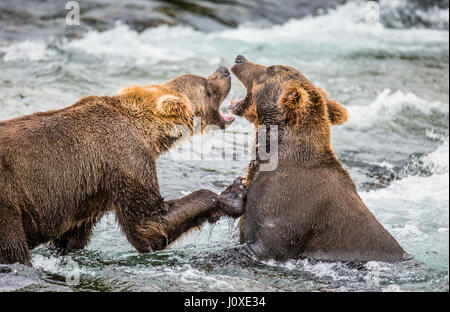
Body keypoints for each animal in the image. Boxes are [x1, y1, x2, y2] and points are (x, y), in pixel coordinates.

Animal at [0, 66, 246, 266]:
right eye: (206, 87)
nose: (224, 71)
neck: (148, 131)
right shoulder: (126, 159)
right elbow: (149, 223)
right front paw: (232, 194)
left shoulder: (92, 190)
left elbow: (71, 236)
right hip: (8, 201)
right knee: (13, 247)